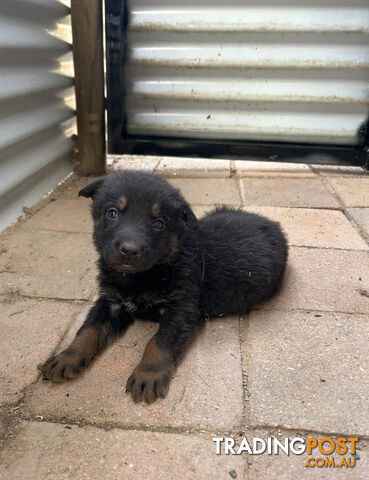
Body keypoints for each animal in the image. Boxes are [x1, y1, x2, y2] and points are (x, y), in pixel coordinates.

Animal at [39, 171, 288, 404]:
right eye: (112, 213)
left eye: (159, 223)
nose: (129, 250)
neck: (141, 275)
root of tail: (273, 224)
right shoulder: (110, 301)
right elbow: (88, 329)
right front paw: (67, 356)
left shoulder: (181, 307)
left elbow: (160, 341)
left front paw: (148, 374)